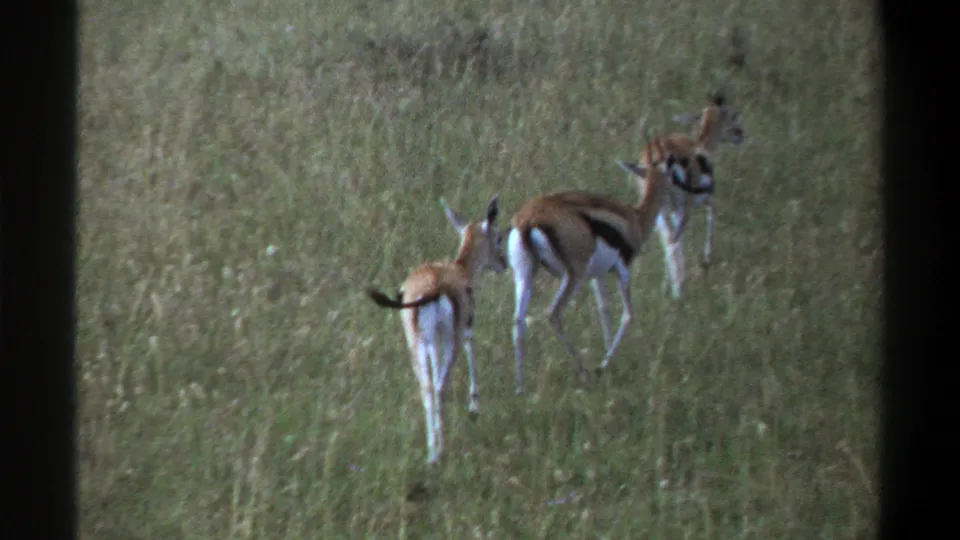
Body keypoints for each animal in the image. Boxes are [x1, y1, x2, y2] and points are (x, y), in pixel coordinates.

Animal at [366, 195, 507, 465]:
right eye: (498, 237)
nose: (503, 264)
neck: (460, 268)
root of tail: (432, 288)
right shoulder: (464, 329)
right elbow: (471, 351)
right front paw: (474, 408)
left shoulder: (433, 343)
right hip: (448, 340)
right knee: (440, 387)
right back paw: (439, 452)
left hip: (417, 342)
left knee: (427, 388)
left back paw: (432, 453)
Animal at [506, 135, 678, 395]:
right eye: (671, 175)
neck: (635, 219)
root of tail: (528, 220)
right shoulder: (622, 269)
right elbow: (628, 314)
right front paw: (605, 365)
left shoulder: (598, 276)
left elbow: (604, 311)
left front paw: (611, 362)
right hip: (572, 276)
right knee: (553, 314)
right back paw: (585, 372)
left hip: (525, 275)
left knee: (518, 322)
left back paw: (520, 388)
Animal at [626, 91, 745, 299]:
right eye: (731, 115)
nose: (740, 133)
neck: (700, 145)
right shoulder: (702, 199)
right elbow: (711, 215)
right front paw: (707, 259)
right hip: (680, 207)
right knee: (673, 240)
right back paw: (678, 289)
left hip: (661, 210)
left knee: (667, 240)